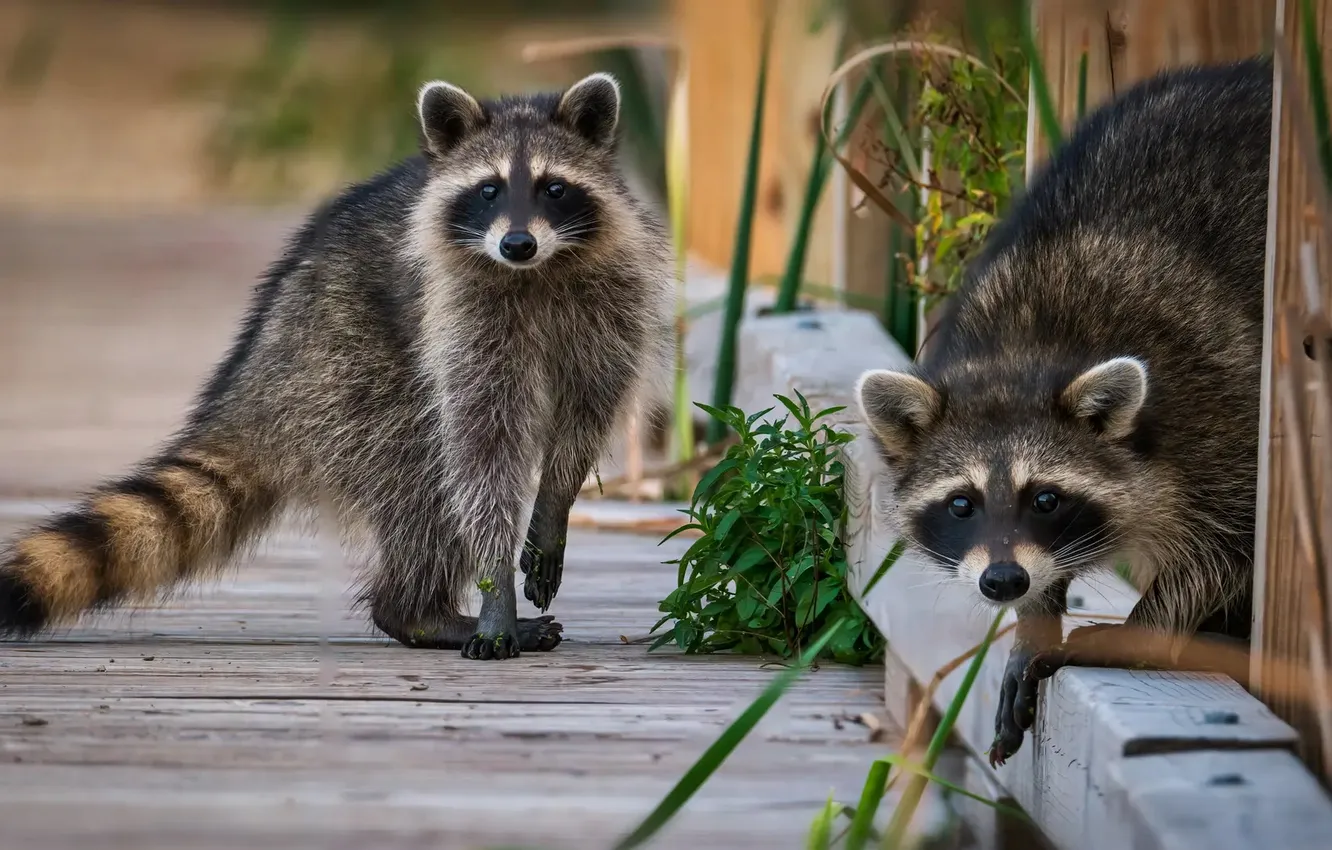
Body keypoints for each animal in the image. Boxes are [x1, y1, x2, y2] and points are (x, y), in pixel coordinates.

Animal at [0, 72, 675, 660]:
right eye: (488, 190)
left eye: (552, 187)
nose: (516, 244)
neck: (535, 271)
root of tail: (256, 377)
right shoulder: (459, 316)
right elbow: (484, 451)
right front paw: (494, 590)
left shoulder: (615, 298)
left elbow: (586, 412)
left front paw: (553, 505)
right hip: (349, 373)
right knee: (424, 483)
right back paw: (417, 611)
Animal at [855, 58, 1272, 763]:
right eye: (961, 504)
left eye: (1046, 498)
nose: (1003, 583)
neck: (1026, 347)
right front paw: (1035, 619)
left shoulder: (1217, 408)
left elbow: (1225, 547)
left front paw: (1143, 629)